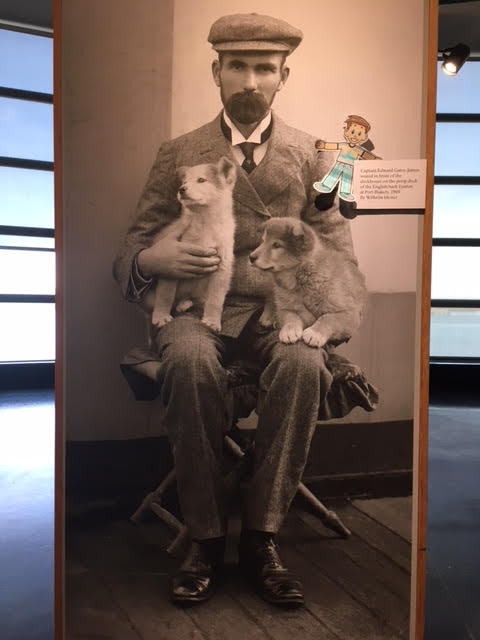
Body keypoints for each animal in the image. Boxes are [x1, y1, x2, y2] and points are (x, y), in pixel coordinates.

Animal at [142, 157, 237, 336]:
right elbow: (165, 295)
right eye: (184, 182)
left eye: (201, 180)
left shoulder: (222, 266)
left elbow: (215, 300)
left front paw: (212, 321)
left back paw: (186, 303)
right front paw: (161, 316)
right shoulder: (171, 266)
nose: (181, 189)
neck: (205, 223)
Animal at [249, 216, 366, 348]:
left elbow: (329, 318)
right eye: (263, 241)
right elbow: (290, 316)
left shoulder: (350, 314)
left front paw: (314, 333)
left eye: (276, 245)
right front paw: (289, 330)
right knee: (269, 297)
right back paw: (268, 316)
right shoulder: (285, 308)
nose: (251, 257)